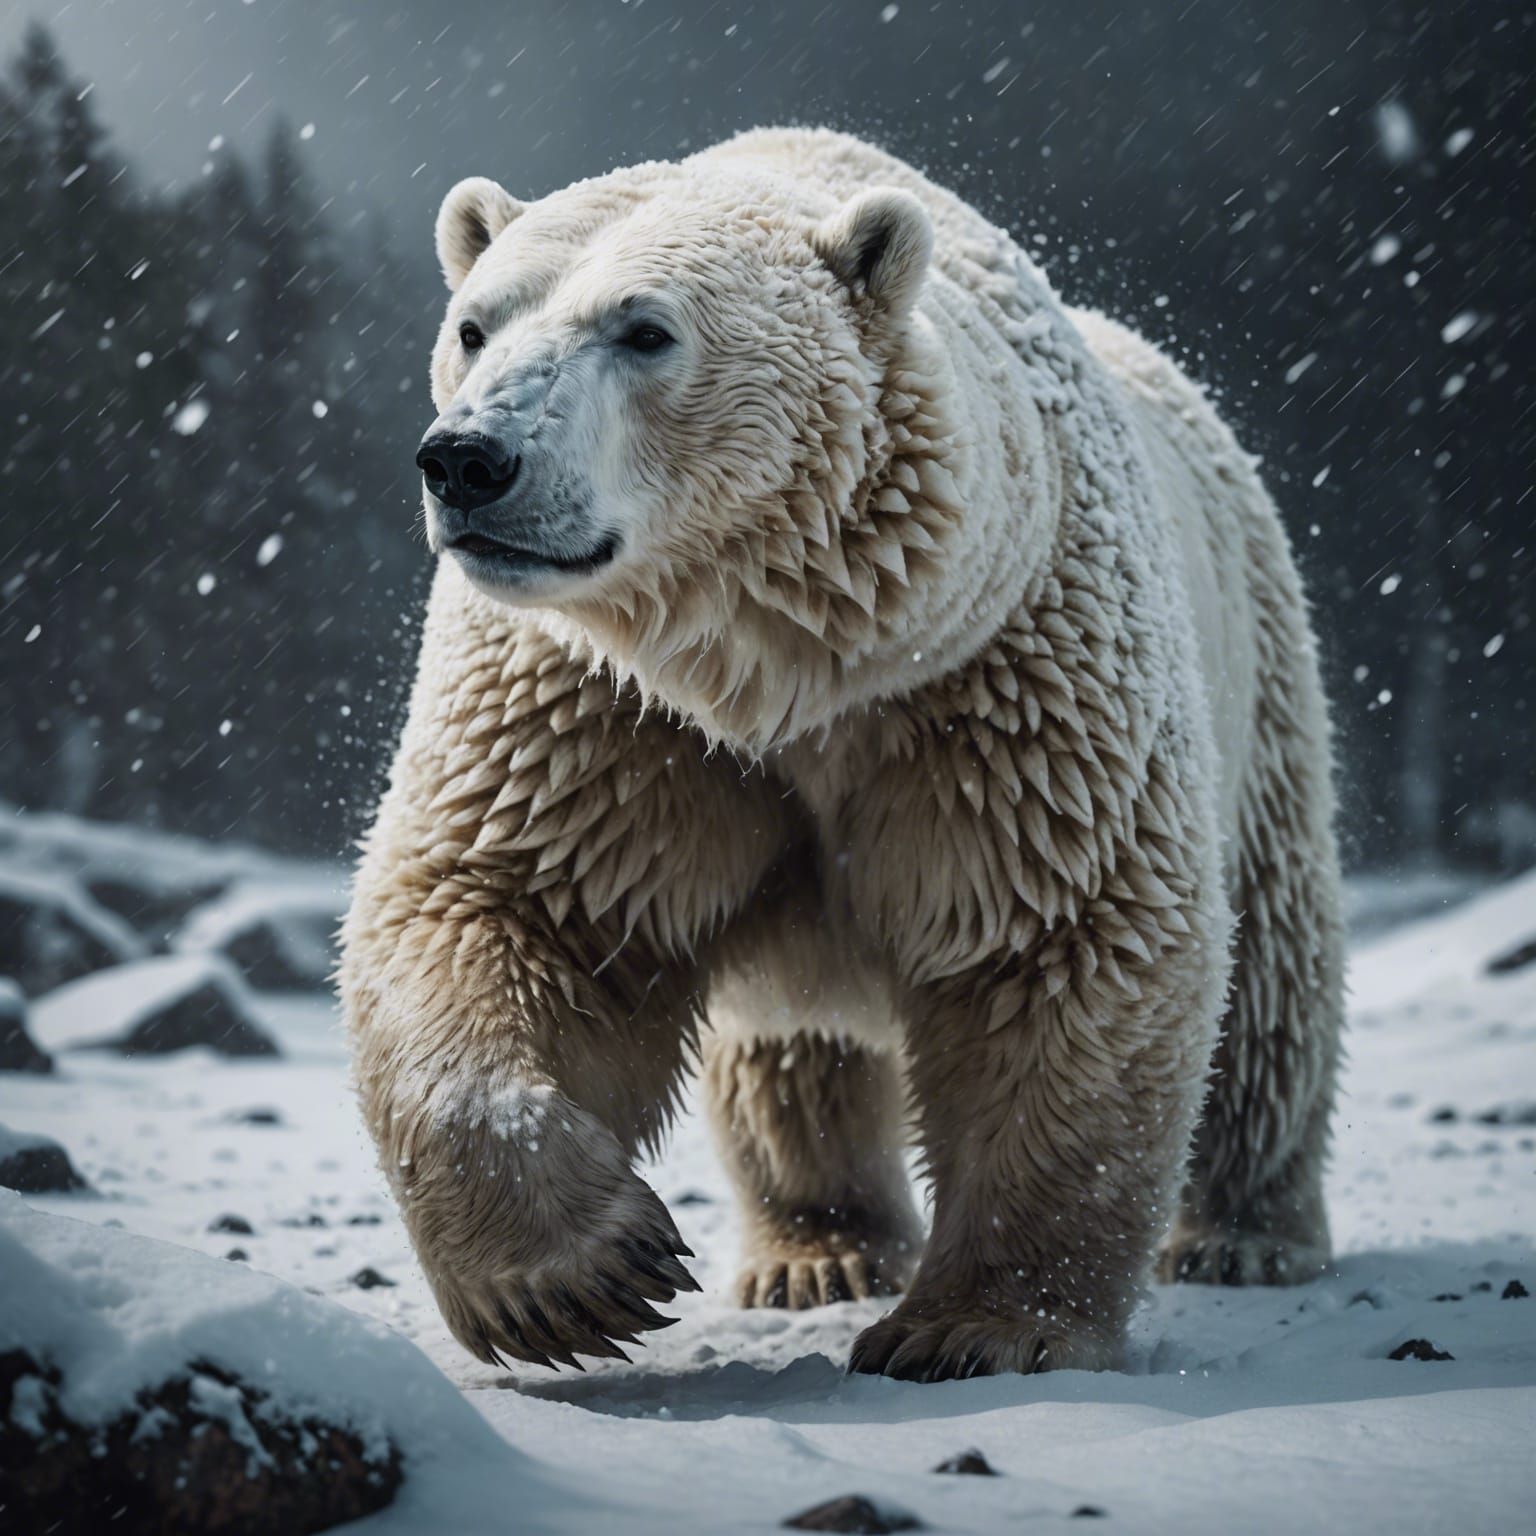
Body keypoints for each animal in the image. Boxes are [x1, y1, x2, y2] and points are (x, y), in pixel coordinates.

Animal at [339, 126, 1344, 1382]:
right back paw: (820, 1253)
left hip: (1260, 659)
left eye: (644, 329)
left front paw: (981, 1327)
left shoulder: (1003, 687)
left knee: (1273, 968)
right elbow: (506, 905)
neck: (795, 664)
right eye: (475, 324)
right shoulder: (602, 717)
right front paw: (585, 1277)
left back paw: (1245, 1235)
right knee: (791, 1051)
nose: (470, 461)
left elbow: (1063, 932)